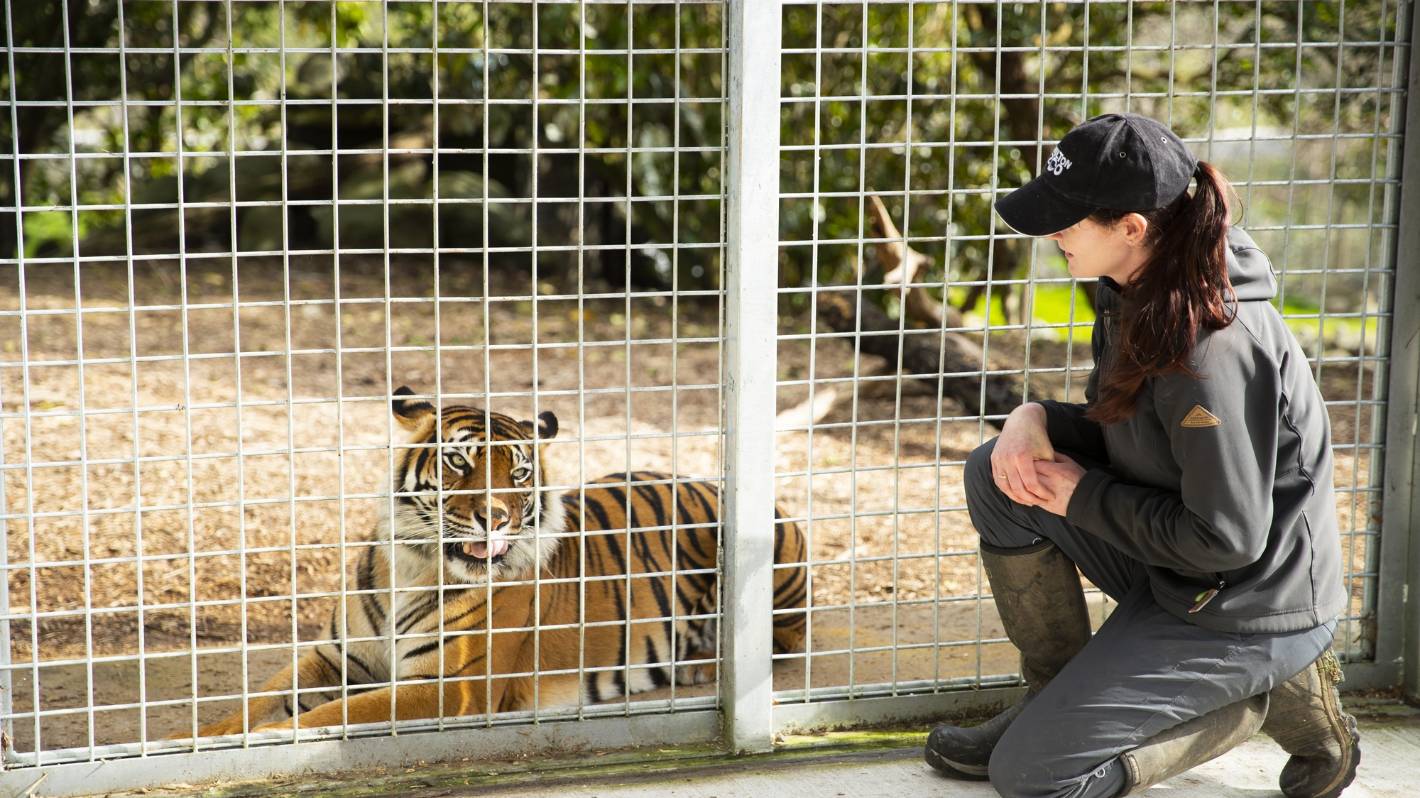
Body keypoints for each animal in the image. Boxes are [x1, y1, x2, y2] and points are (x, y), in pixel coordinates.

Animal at [193, 386, 806, 732]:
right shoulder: (335, 660)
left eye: (519, 473)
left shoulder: (451, 686)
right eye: (459, 462)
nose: (497, 517)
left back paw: (703, 661)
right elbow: (259, 699)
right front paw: (199, 739)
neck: (412, 563)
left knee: (786, 640)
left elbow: (331, 716)